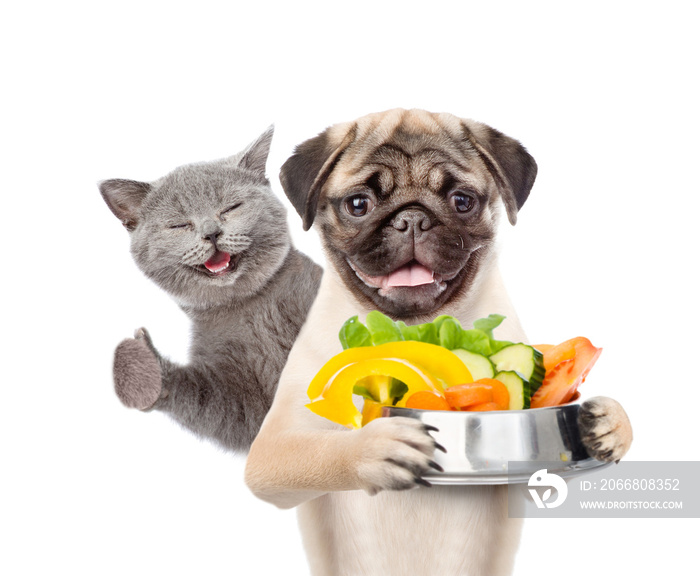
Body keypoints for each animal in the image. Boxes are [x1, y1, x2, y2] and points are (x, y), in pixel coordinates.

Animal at [99, 127, 322, 454]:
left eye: (231, 207)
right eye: (179, 225)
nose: (211, 233)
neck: (250, 307)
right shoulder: (246, 406)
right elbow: (219, 408)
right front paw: (142, 367)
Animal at [243, 110, 632, 576]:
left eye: (462, 201)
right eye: (358, 205)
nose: (412, 219)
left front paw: (611, 421)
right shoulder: (272, 452)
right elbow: (323, 452)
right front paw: (374, 448)